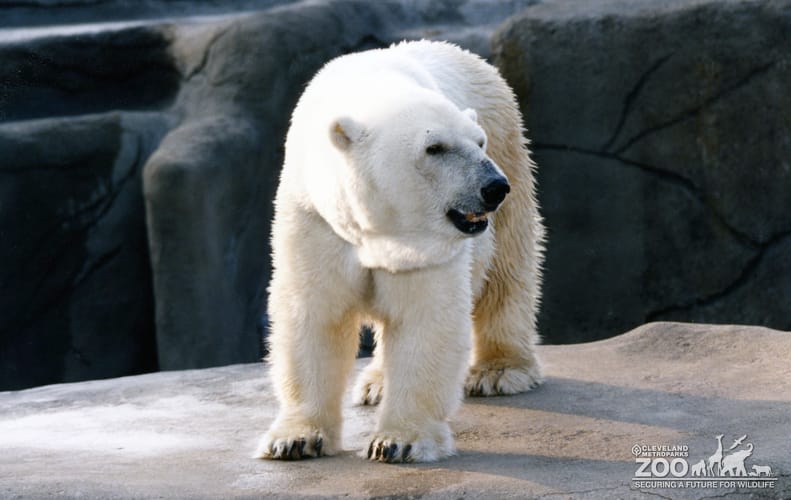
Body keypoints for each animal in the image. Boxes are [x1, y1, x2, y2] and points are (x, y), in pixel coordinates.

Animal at [254, 40, 544, 463]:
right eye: (434, 147)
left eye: (478, 142)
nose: (493, 187)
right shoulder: (314, 220)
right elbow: (314, 313)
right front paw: (293, 439)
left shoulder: (428, 245)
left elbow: (425, 319)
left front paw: (399, 441)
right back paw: (375, 384)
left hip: (511, 150)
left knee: (507, 270)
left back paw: (499, 370)